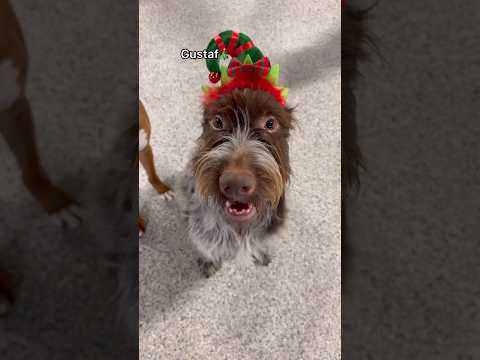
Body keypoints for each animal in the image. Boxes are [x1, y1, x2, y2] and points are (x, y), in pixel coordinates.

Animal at [178, 31, 294, 278]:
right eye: (218, 122)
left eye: (270, 123)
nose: (236, 183)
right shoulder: (204, 232)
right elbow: (205, 246)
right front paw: (208, 261)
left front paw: (262, 254)